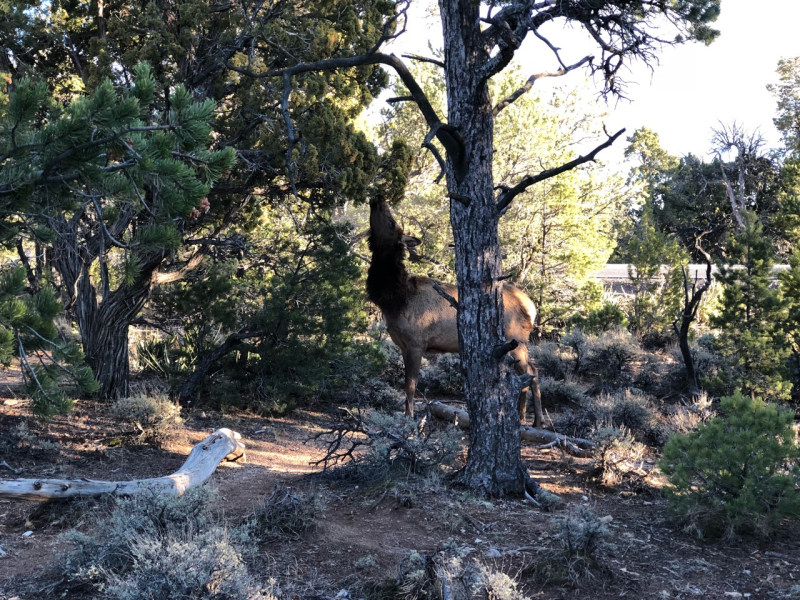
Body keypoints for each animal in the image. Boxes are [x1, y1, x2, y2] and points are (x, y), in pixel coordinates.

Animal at [366, 197, 543, 426]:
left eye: (392, 222)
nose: (377, 199)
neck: (394, 298)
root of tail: (531, 307)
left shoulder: (416, 342)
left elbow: (411, 385)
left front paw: (410, 418)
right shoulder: (403, 345)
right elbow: (406, 385)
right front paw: (406, 415)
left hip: (517, 341)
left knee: (533, 372)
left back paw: (539, 421)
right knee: (524, 376)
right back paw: (521, 417)